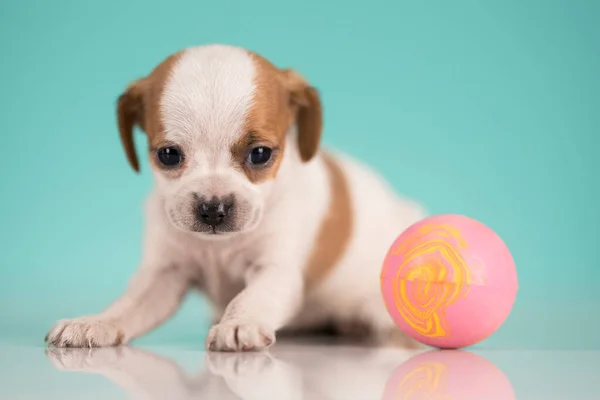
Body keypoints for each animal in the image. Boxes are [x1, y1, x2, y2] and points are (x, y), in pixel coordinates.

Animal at [44, 43, 424, 350]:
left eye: (260, 154)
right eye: (168, 155)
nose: (213, 209)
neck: (217, 248)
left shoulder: (274, 270)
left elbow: (251, 297)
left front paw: (239, 323)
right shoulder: (164, 275)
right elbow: (128, 305)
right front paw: (96, 321)